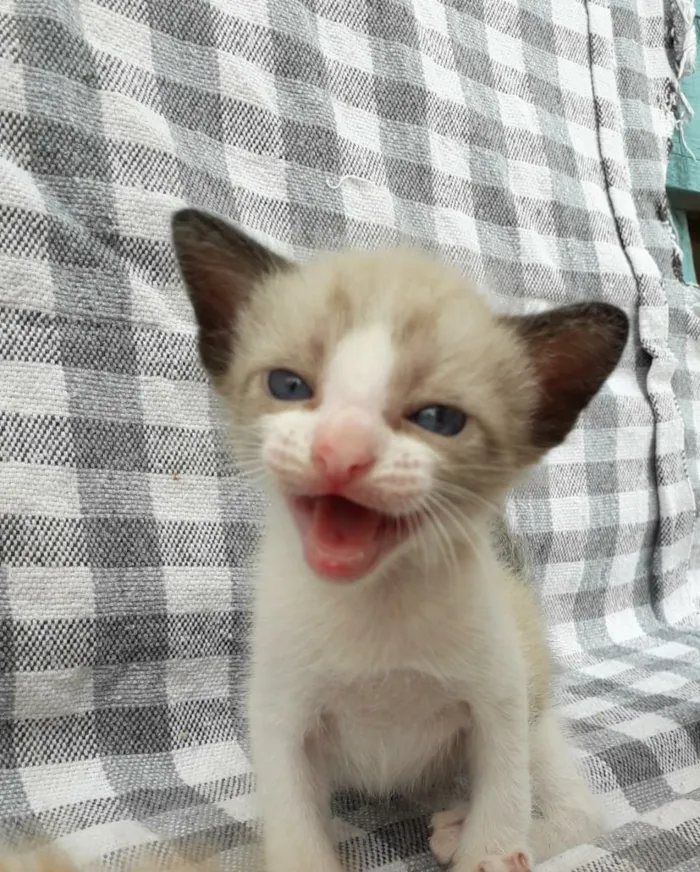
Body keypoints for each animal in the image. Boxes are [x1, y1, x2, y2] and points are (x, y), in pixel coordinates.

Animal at [174, 211, 628, 872]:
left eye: (438, 419)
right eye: (288, 385)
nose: (340, 451)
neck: (376, 601)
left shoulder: (500, 700)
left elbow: (503, 811)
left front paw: (483, 848)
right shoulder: (280, 714)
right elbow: (296, 835)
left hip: (535, 707)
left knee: (579, 809)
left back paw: (462, 830)